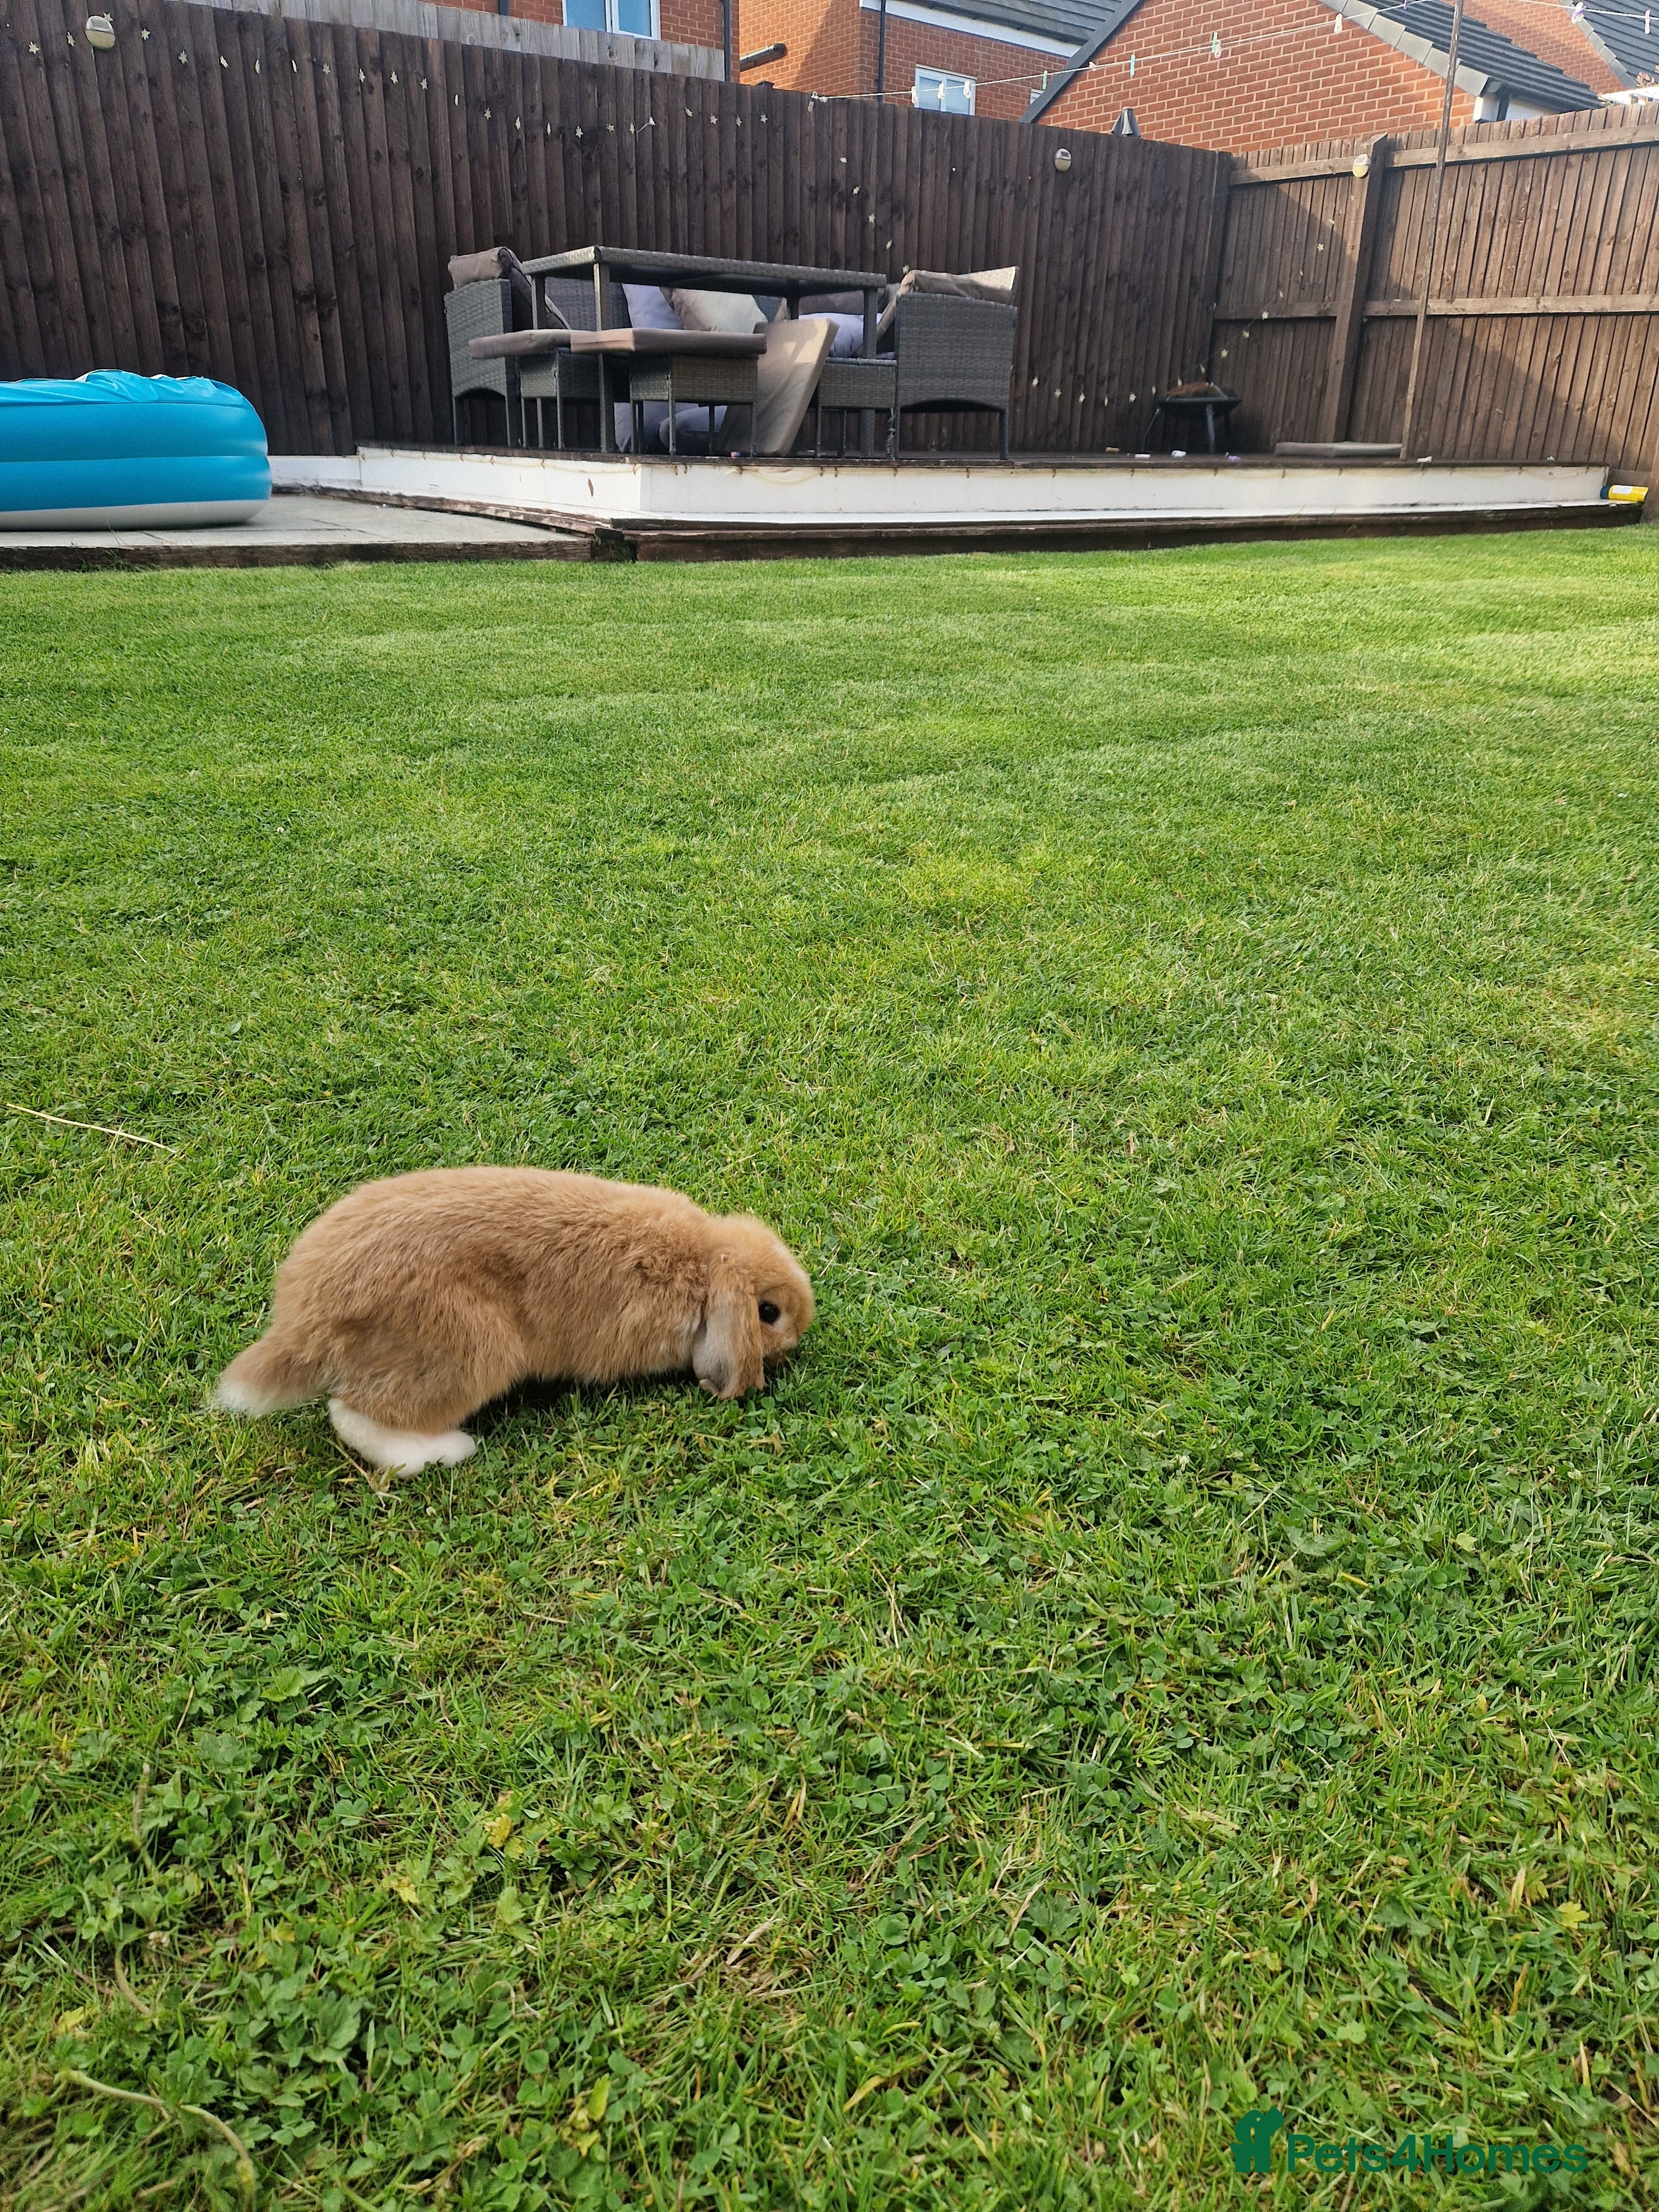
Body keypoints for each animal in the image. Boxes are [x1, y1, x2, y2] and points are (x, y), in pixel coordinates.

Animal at [213, 1167, 814, 1475]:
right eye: (769, 1312)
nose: (795, 1342)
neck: (704, 1262)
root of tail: (303, 1324)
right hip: (469, 1351)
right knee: (354, 1413)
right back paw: (445, 1451)